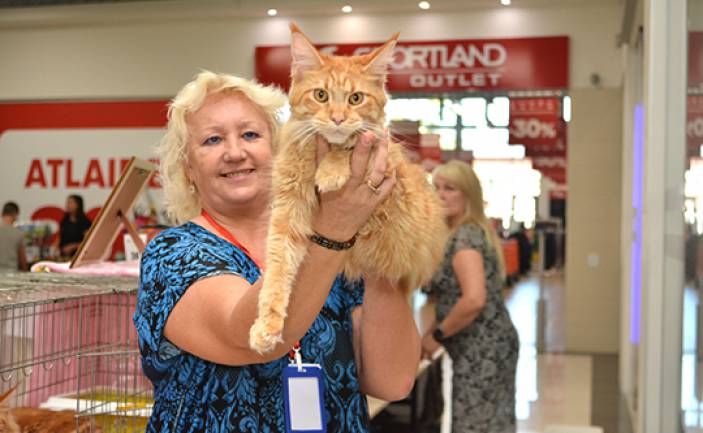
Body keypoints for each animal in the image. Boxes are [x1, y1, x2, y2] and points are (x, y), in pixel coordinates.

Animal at [250, 24, 448, 354]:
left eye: (356, 98)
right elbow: (277, 268)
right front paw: (267, 324)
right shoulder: (287, 211)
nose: (338, 118)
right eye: (321, 95)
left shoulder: (385, 163)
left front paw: (332, 169)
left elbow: (351, 143)